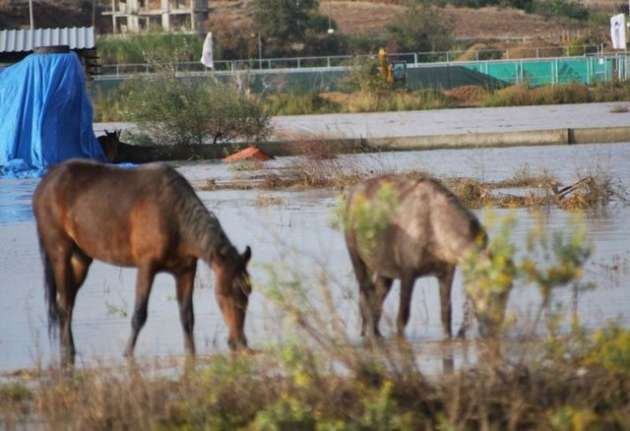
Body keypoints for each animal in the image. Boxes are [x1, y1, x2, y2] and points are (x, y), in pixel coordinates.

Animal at [34, 159, 252, 364]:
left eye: (247, 292)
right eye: (223, 293)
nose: (239, 341)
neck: (174, 218)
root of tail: (46, 182)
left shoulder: (186, 270)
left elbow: (187, 316)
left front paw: (191, 354)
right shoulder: (147, 267)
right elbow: (139, 315)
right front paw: (127, 353)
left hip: (81, 258)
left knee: (67, 302)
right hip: (60, 252)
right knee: (64, 305)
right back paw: (67, 351)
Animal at [346, 175, 488, 340]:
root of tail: (353, 191)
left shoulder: (446, 272)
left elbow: (446, 314)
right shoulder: (408, 273)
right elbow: (402, 317)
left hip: (384, 271)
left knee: (375, 297)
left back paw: (374, 334)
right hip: (359, 261)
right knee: (365, 297)